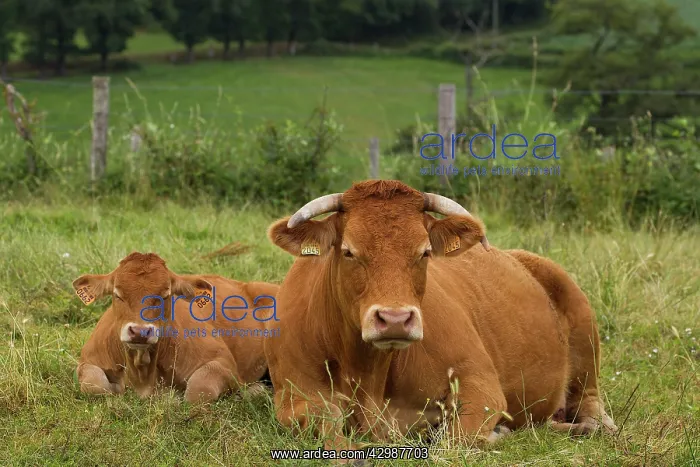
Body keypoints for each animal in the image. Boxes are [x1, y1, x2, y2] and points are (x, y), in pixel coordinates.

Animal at [73, 252, 279, 403]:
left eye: (166, 295)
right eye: (117, 294)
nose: (140, 332)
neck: (142, 375)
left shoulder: (223, 362)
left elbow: (197, 391)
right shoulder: (88, 360)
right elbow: (94, 385)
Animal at [264, 179, 617, 453]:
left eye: (425, 252)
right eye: (348, 251)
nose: (394, 319)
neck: (367, 373)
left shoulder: (480, 381)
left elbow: (455, 439)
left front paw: (494, 433)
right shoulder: (292, 396)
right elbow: (329, 428)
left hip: (583, 332)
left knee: (588, 398)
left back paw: (593, 425)